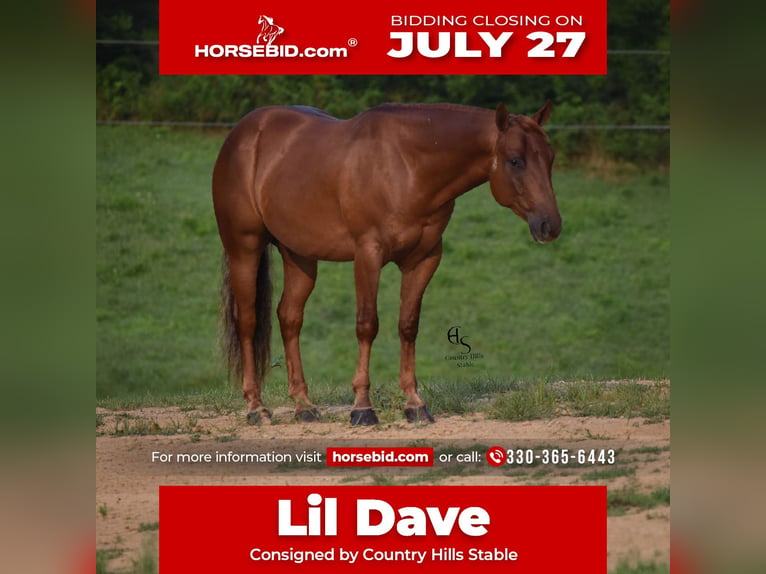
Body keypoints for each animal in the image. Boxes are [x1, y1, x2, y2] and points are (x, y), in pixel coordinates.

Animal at [212, 102, 561, 426]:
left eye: (550, 158)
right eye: (515, 160)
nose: (550, 226)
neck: (407, 166)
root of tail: (243, 133)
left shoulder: (424, 259)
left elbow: (408, 325)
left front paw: (415, 404)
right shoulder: (369, 254)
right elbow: (367, 325)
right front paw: (362, 408)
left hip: (298, 254)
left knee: (289, 318)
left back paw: (304, 406)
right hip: (244, 248)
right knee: (247, 322)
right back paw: (256, 408)